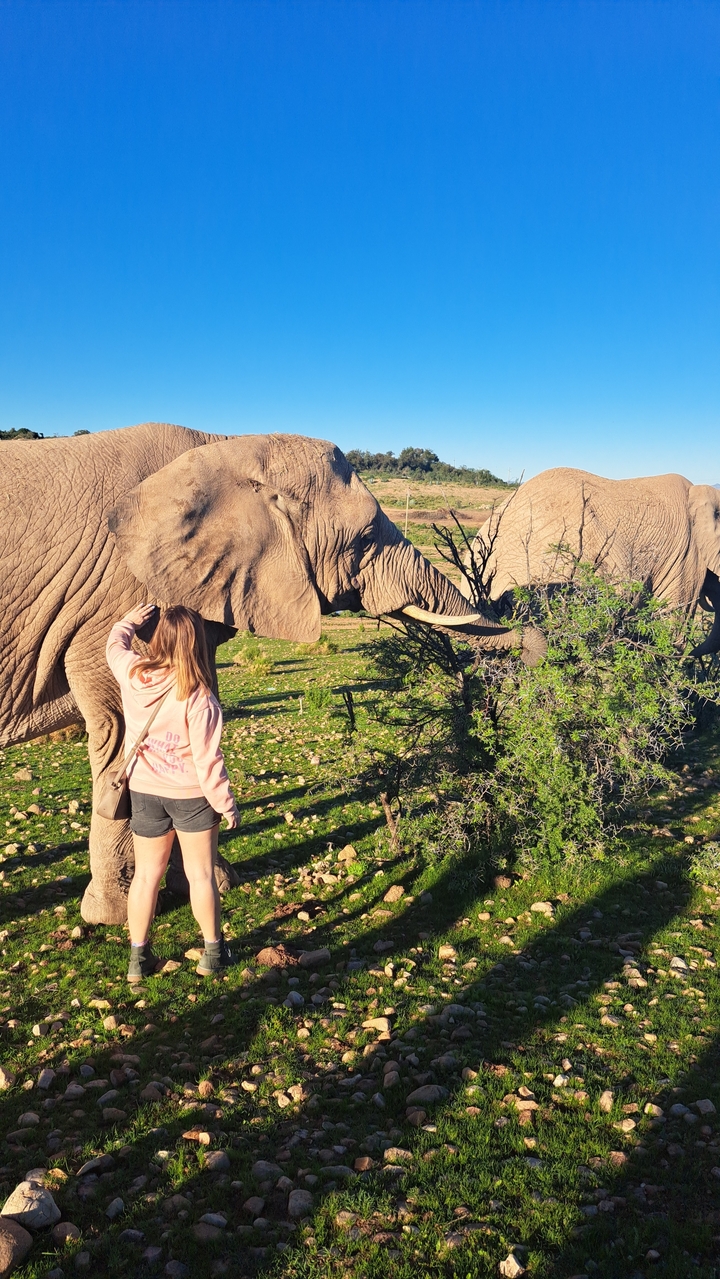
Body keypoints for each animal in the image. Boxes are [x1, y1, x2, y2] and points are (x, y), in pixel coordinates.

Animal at [0, 422, 544, 925]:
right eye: (366, 540)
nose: (533, 637)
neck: (225, 445)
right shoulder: (116, 599)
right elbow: (121, 733)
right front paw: (118, 914)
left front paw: (207, 883)